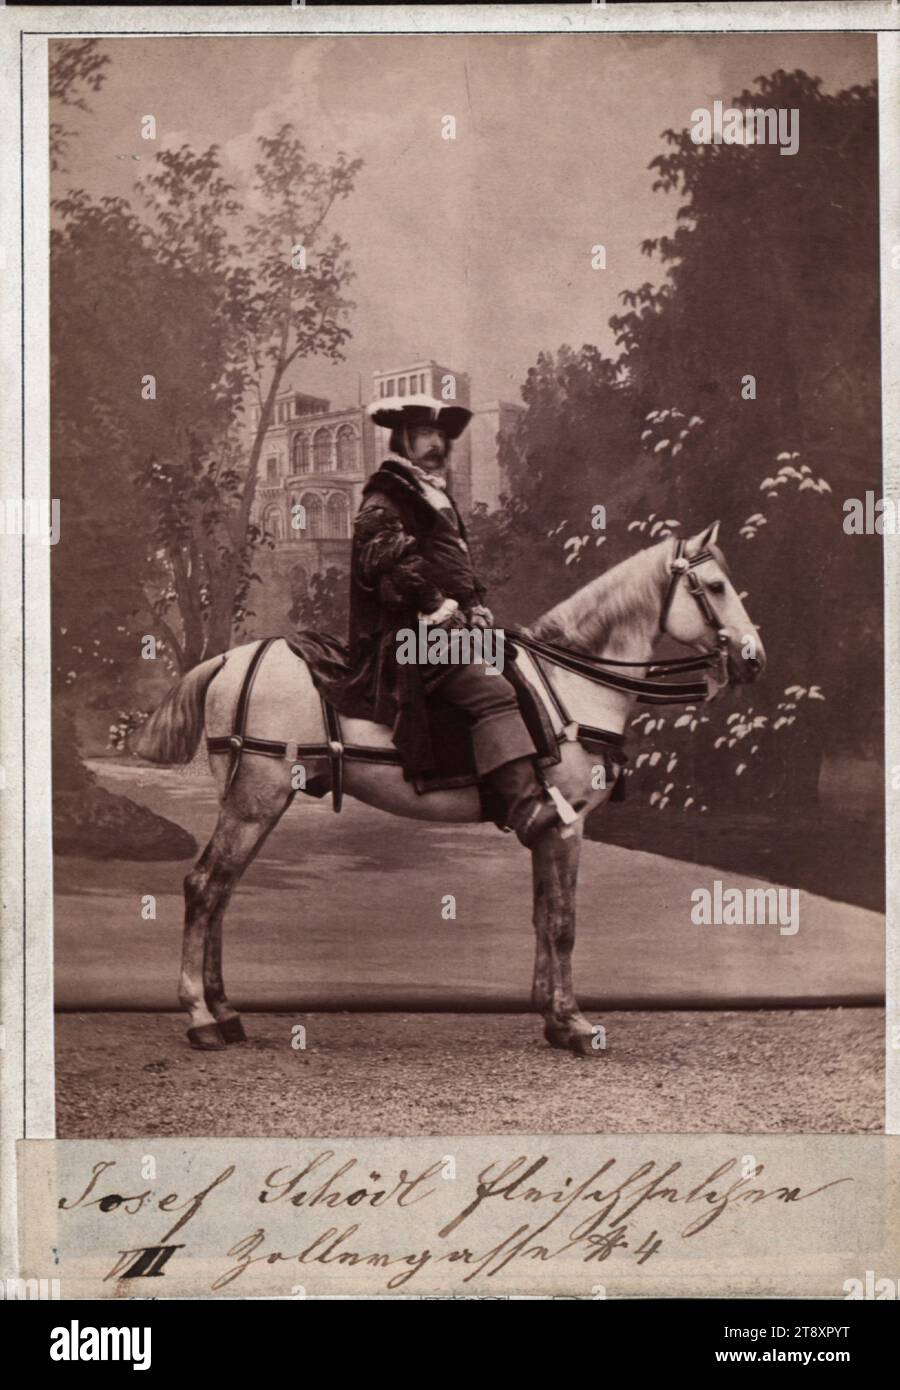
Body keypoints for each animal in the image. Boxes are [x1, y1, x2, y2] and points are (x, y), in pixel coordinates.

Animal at [135, 522, 767, 1050]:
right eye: (715, 586)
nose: (754, 658)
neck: (571, 682)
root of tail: (229, 660)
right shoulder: (567, 825)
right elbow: (563, 923)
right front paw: (574, 1024)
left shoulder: (548, 829)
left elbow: (543, 917)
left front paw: (551, 1016)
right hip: (255, 801)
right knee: (205, 886)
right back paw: (200, 1016)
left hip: (252, 800)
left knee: (221, 891)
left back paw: (223, 1010)